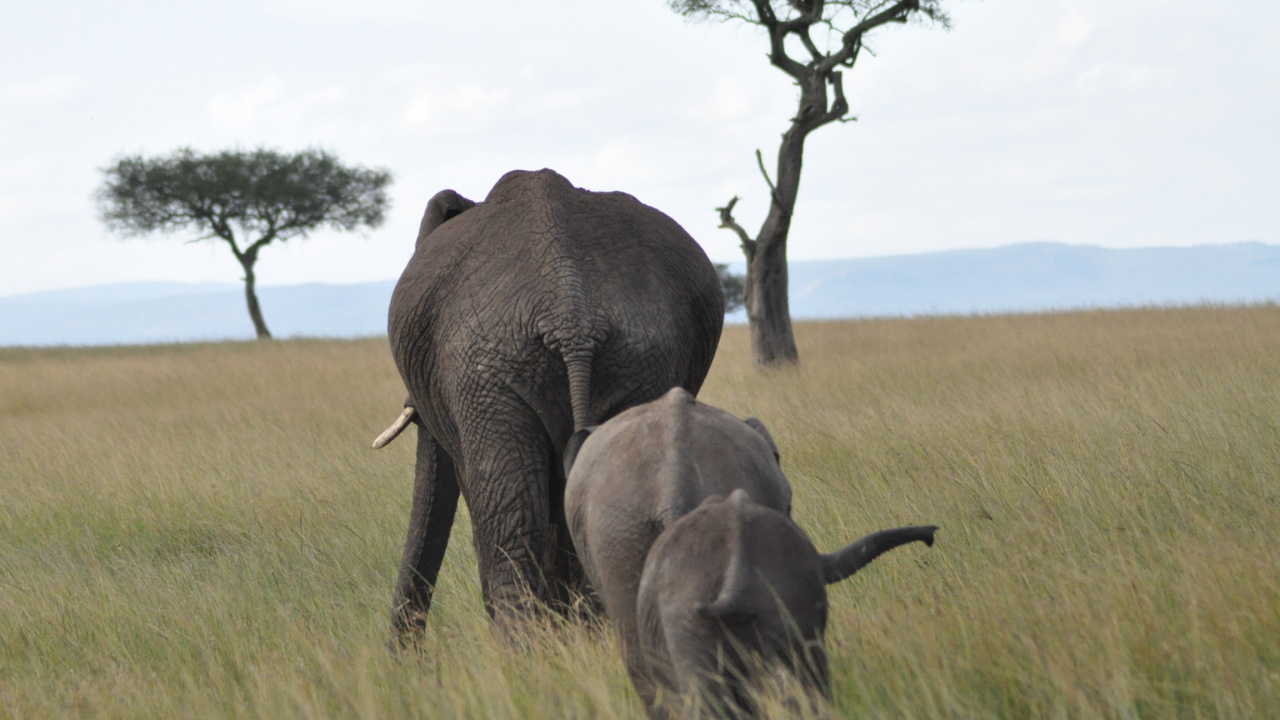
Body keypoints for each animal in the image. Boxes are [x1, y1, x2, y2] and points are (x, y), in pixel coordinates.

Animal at [374, 169, 725, 643]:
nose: (404, 654)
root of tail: (570, 313)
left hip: (491, 374)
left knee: (511, 525)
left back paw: (525, 651)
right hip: (635, 365)